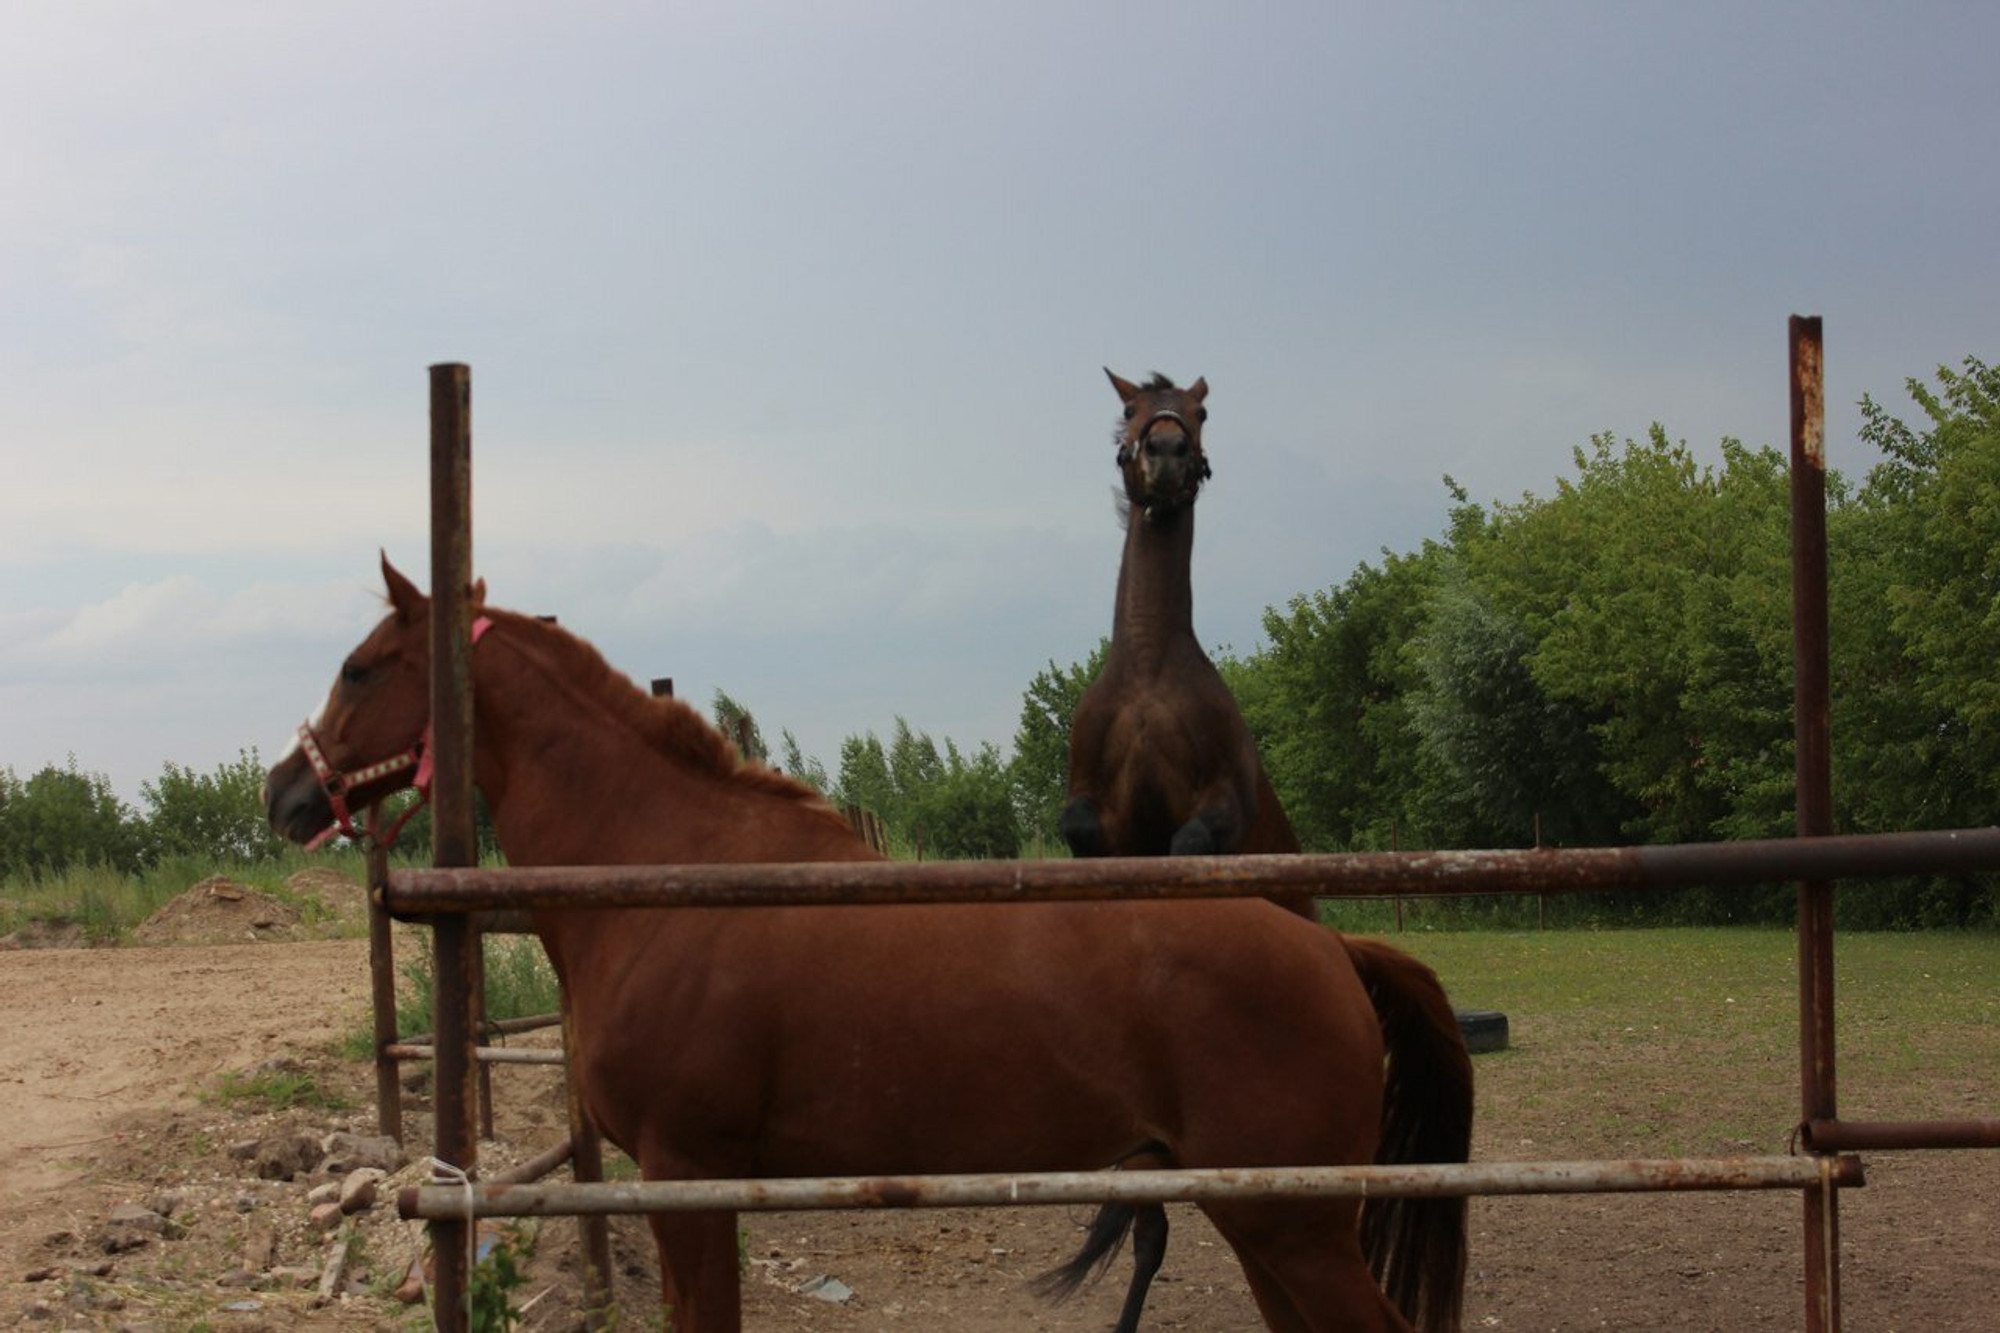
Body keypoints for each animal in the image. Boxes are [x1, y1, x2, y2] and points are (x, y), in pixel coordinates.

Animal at [266, 556, 1472, 1320]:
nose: (284, 791)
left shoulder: (688, 1176)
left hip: (1293, 1224)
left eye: (361, 665)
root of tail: (1331, 950)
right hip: (1263, 1220)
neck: (666, 883)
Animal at [1064, 366, 1328, 1328]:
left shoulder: (1219, 801)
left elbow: (1188, 837)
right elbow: (1088, 834)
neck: (1149, 667)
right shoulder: (1091, 807)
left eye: (1201, 410)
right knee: (1153, 1226)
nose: (1170, 454)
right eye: (1130, 410)